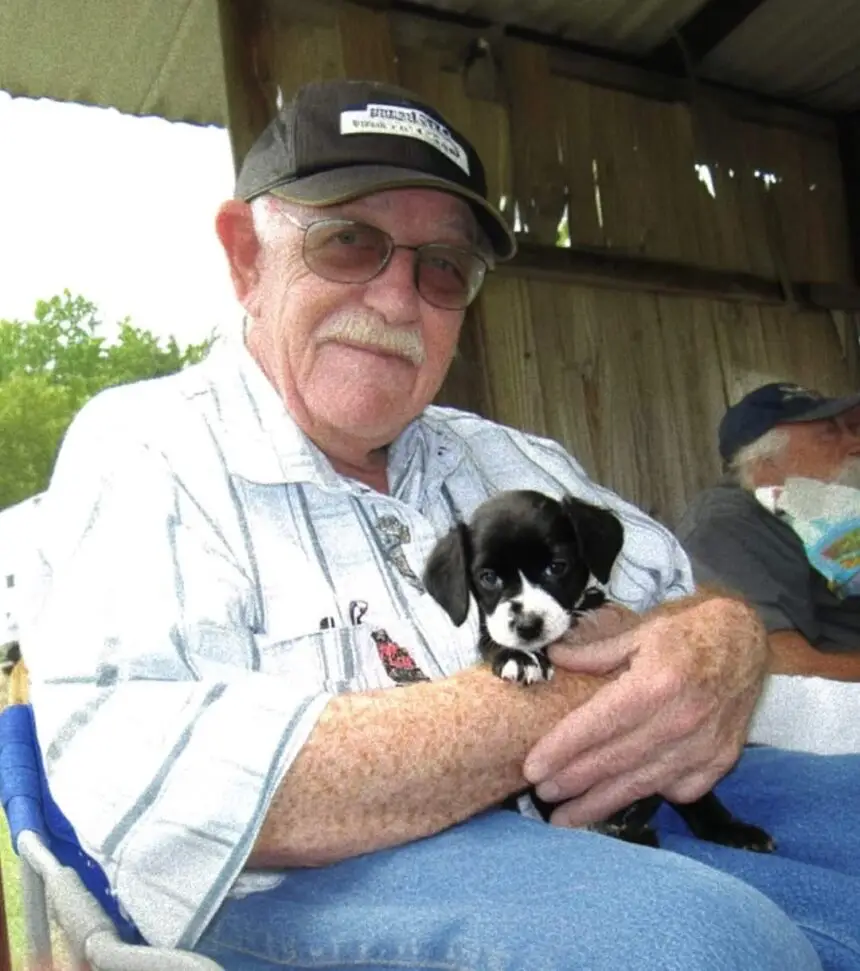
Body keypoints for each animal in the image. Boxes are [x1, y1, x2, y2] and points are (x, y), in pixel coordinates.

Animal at [423, 489, 774, 853]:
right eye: (488, 578)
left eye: (556, 567)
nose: (528, 625)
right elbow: (492, 639)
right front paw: (518, 657)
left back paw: (728, 830)